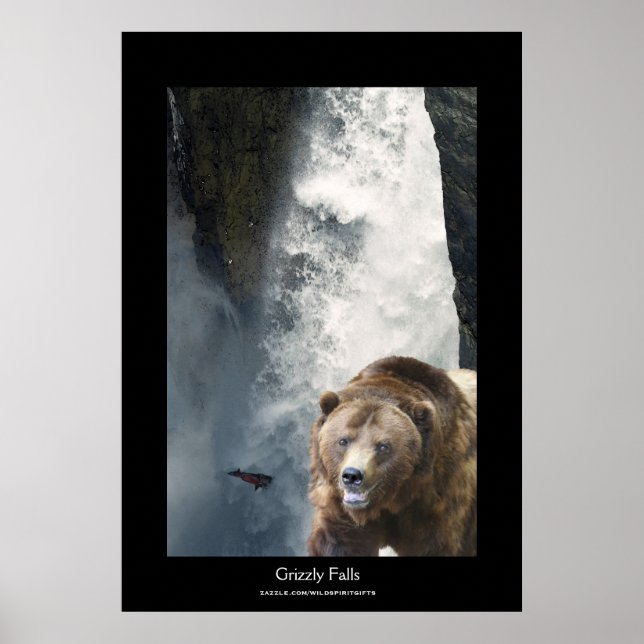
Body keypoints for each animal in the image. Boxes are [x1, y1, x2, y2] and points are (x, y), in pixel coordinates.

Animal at [307, 356, 477, 556]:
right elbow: (339, 540)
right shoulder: (339, 504)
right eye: (343, 440)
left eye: (383, 446)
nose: (352, 476)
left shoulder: (438, 500)